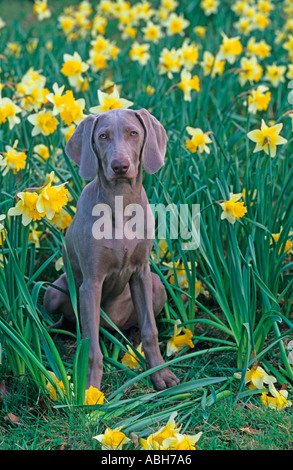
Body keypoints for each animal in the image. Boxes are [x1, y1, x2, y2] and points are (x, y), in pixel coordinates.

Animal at [43, 108, 179, 392]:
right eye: (102, 136)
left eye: (133, 133)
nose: (120, 166)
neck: (120, 201)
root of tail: (110, 327)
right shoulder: (91, 284)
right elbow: (92, 348)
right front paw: (90, 391)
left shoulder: (141, 272)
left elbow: (151, 330)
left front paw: (160, 374)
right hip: (54, 292)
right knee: (74, 324)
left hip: (156, 285)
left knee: (138, 325)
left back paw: (132, 340)